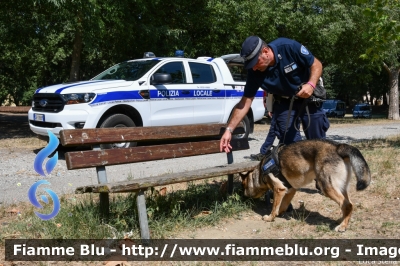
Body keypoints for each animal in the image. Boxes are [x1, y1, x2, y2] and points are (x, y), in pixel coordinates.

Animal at [239, 139, 370, 231]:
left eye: (243, 186)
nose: (243, 196)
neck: (260, 173)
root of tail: (338, 147)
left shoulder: (279, 189)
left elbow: (274, 208)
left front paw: (270, 218)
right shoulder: (290, 190)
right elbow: (282, 206)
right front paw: (280, 214)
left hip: (326, 187)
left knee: (347, 205)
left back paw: (343, 227)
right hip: (341, 188)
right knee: (347, 204)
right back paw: (341, 221)